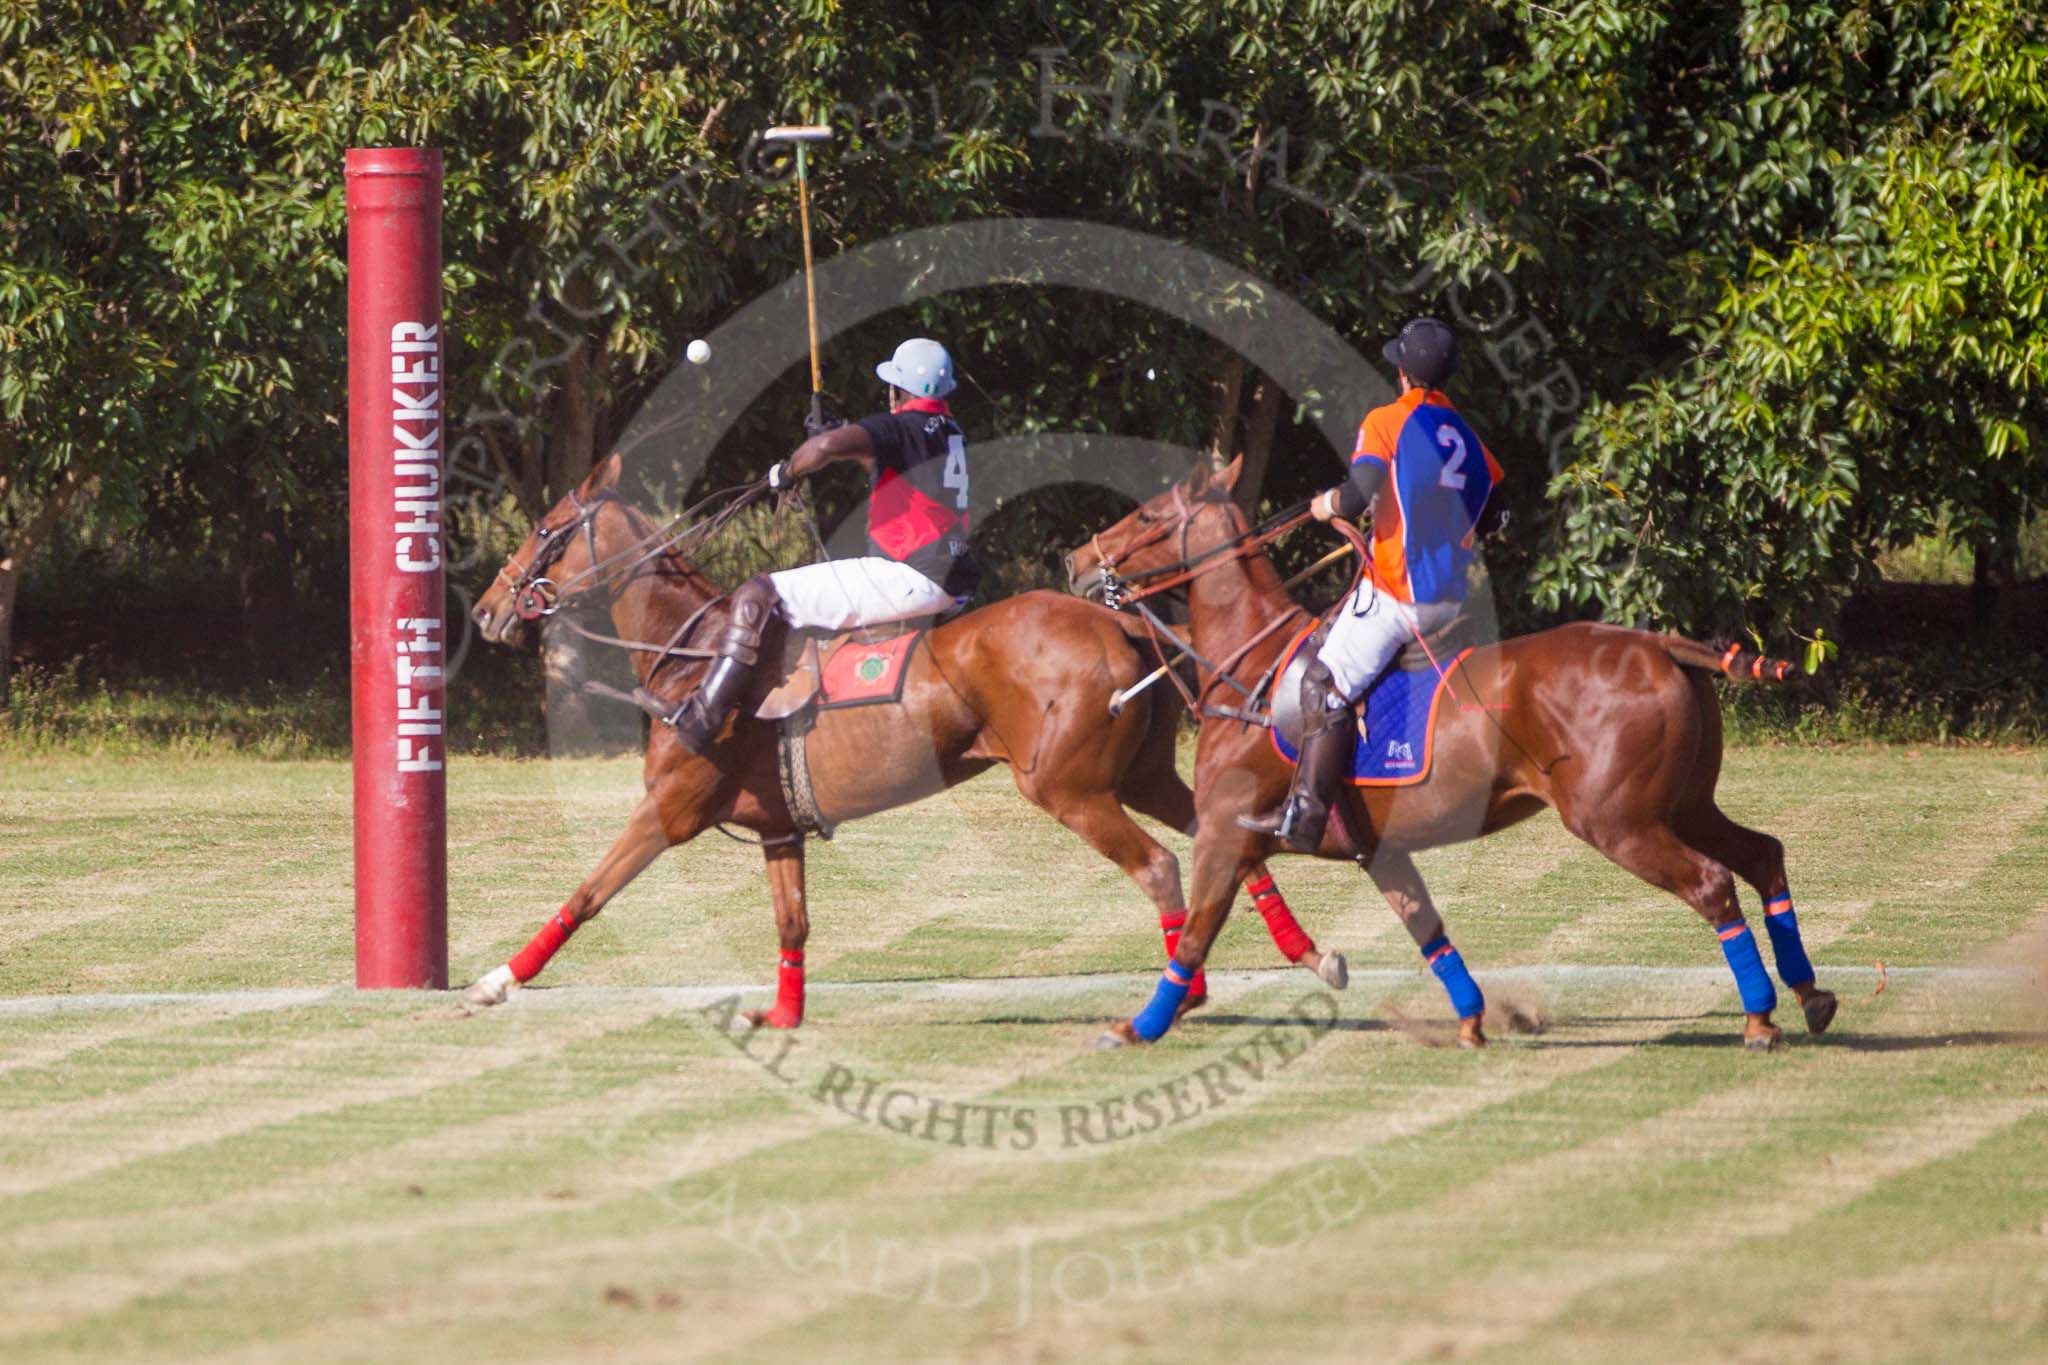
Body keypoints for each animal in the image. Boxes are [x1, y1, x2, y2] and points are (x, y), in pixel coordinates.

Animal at [464, 454, 1343, 1031]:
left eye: (545, 529)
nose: (484, 611)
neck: (693, 651)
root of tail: (1123, 623)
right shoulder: (778, 828)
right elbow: (792, 923)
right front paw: (783, 1016)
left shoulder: (670, 808)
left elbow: (588, 892)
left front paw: (496, 980)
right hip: (1142, 775)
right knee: (1229, 845)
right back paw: (1307, 955)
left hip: (1066, 786)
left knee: (1160, 864)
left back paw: (1182, 992)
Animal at [1073, 454, 1843, 1055]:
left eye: (1147, 516)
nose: (1077, 561)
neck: (1251, 668)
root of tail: (1662, 644)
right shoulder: (1376, 848)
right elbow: (1427, 928)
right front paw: (1471, 1021)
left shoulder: (1227, 834)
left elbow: (1195, 934)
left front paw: (1139, 1026)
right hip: (1683, 802)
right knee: (1763, 854)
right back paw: (1810, 995)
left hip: (1617, 820)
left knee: (1712, 884)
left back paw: (1760, 1018)